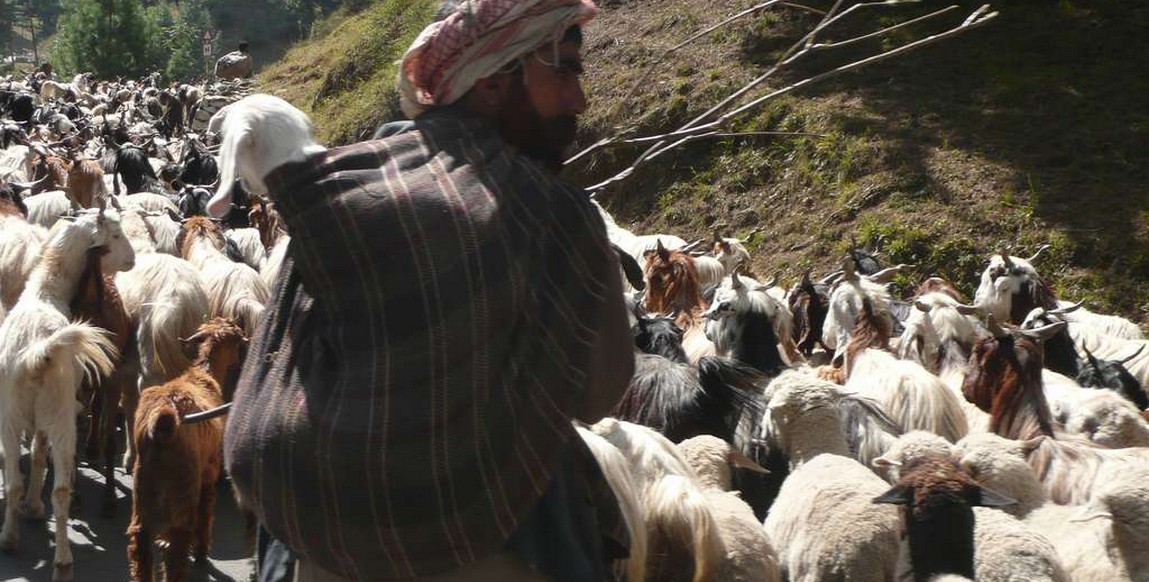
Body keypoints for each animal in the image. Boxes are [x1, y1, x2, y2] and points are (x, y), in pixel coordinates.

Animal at [0, 206, 134, 582]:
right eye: (115, 234)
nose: (132, 260)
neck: (44, 291)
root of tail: (38, 353)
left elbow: (31, 459)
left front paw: (29, 506)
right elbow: (40, 457)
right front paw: (35, 505)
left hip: (11, 414)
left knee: (12, 480)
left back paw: (9, 537)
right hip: (60, 415)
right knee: (60, 489)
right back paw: (62, 559)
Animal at [128, 319, 247, 582]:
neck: (201, 376)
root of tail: (161, 424)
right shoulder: (209, 472)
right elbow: (206, 512)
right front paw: (202, 552)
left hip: (143, 485)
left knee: (141, 537)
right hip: (184, 483)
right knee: (179, 539)